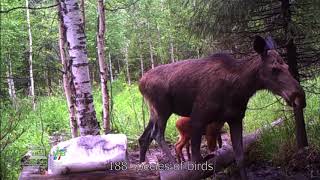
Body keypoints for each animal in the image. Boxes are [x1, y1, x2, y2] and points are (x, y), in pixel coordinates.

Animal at [139, 35, 306, 179]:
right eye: (274, 68)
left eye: (287, 66)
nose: (300, 97)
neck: (240, 90)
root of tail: (140, 83)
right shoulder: (198, 117)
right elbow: (199, 163)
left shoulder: (235, 119)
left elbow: (240, 158)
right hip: (162, 109)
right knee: (157, 135)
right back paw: (173, 165)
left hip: (153, 113)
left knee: (144, 137)